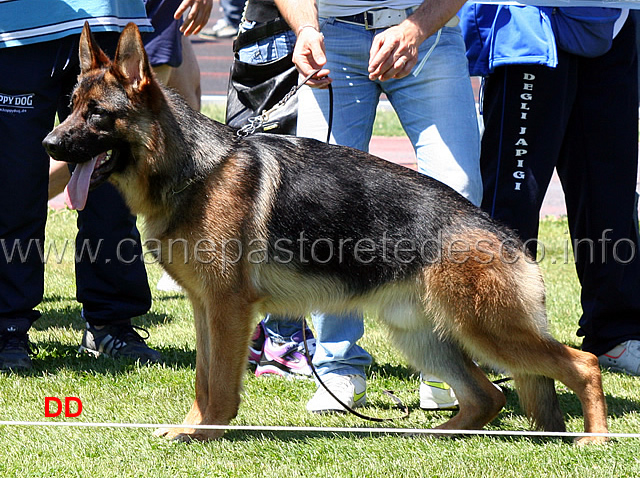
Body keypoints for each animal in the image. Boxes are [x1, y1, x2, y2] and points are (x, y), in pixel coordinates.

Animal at [42, 23, 608, 444]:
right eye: (71, 107)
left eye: (98, 115)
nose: (48, 144)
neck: (193, 170)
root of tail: (501, 231)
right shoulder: (206, 307)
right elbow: (204, 378)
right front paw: (194, 428)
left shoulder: (227, 308)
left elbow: (219, 384)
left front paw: (203, 433)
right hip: (424, 335)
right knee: (488, 397)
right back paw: (433, 434)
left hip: (486, 329)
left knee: (581, 363)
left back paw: (595, 439)